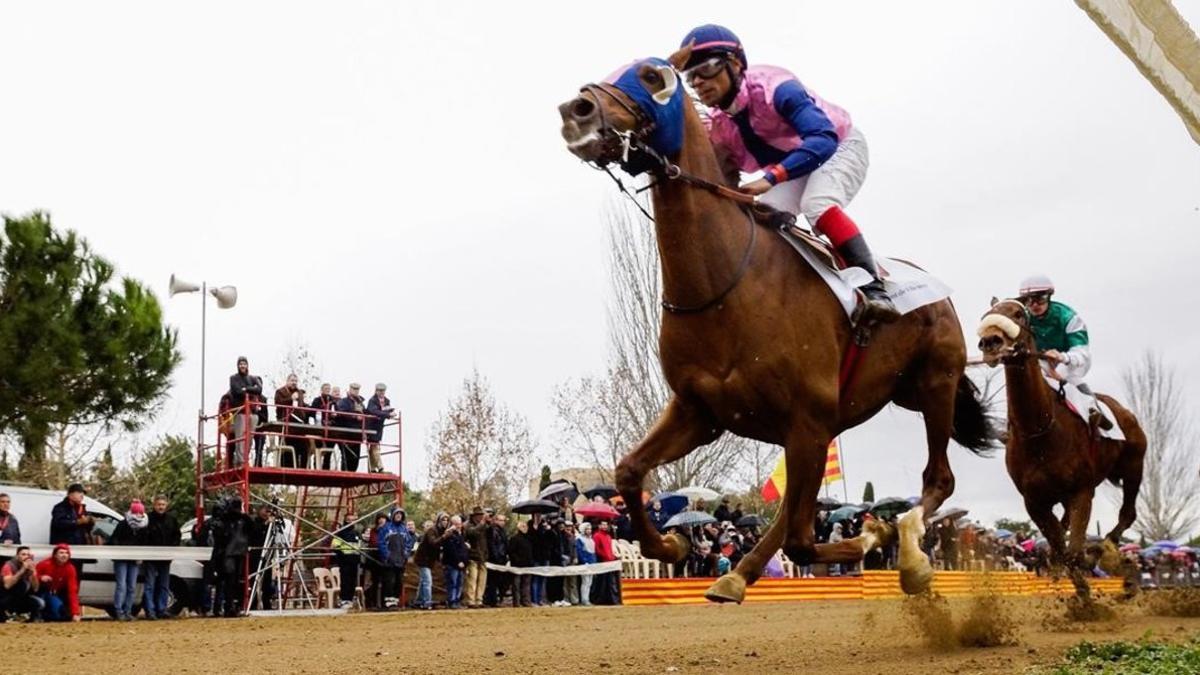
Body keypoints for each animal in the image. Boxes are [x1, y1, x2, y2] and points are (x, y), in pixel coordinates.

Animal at [556, 52, 998, 598]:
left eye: (651, 76)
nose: (575, 111)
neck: (726, 283)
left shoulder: (805, 418)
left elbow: (806, 543)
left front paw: (873, 535)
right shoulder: (700, 411)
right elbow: (629, 471)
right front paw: (673, 545)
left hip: (934, 385)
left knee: (938, 479)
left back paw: (909, 551)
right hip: (866, 408)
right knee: (795, 512)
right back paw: (736, 576)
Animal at [974, 299, 1142, 593]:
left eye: (1017, 314)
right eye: (986, 316)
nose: (990, 342)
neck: (1039, 433)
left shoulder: (1081, 492)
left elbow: (1073, 552)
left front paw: (1086, 580)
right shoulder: (1034, 501)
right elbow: (1062, 551)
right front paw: (1077, 591)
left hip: (1134, 467)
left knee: (1127, 514)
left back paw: (1102, 549)